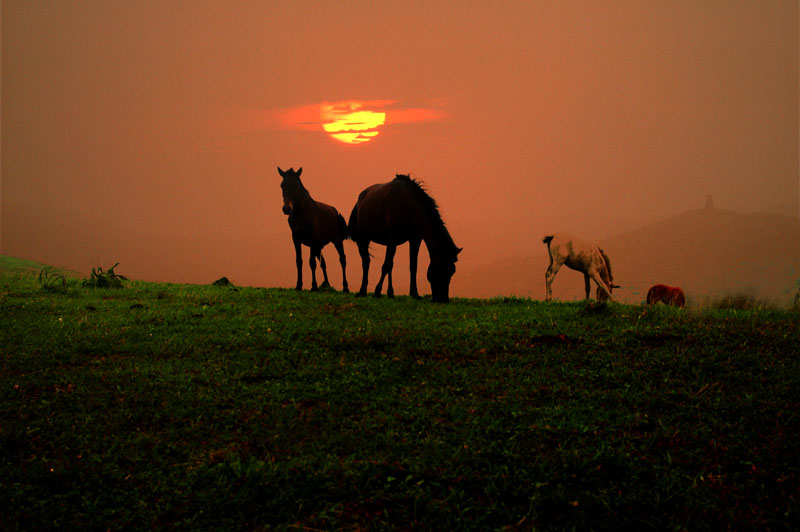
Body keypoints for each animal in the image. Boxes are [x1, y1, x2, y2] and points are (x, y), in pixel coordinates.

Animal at [346, 175, 460, 304]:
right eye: (441, 268)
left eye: (452, 271)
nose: (443, 299)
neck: (409, 206)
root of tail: (359, 201)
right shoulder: (392, 238)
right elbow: (386, 265)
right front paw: (377, 291)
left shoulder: (415, 239)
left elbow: (412, 266)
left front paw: (415, 293)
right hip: (363, 239)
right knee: (366, 262)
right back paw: (362, 291)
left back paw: (390, 293)